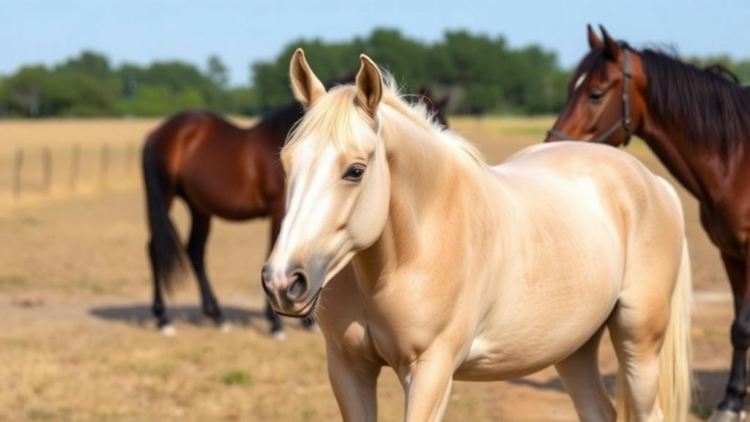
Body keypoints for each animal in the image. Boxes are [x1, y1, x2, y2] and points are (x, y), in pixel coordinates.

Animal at [142, 79, 449, 338]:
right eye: (434, 119)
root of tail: (158, 132)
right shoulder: (281, 211)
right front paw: (279, 323)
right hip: (167, 198)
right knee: (156, 249)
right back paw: (163, 319)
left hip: (200, 208)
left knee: (194, 250)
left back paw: (217, 316)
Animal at [261, 49, 692, 421]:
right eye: (286, 163)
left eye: (355, 170)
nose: (282, 281)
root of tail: (654, 183)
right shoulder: (348, 368)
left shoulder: (430, 372)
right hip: (575, 347)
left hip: (639, 342)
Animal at [545, 25, 750, 422]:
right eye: (568, 88)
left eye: (595, 93)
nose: (551, 147)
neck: (738, 159)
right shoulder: (731, 254)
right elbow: (738, 329)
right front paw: (732, 402)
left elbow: (744, 327)